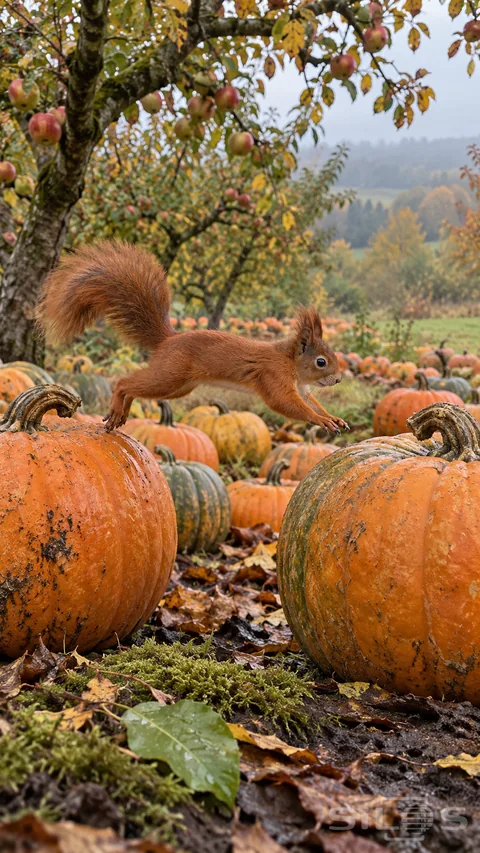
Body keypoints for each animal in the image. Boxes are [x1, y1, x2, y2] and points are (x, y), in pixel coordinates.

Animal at [37, 240, 349, 434]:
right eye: (322, 361)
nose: (338, 380)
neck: (291, 362)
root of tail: (168, 340)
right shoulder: (273, 376)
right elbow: (287, 404)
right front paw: (319, 420)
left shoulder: (304, 389)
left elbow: (312, 402)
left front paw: (332, 417)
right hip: (169, 375)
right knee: (125, 382)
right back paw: (117, 405)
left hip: (178, 387)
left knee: (137, 388)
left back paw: (123, 412)